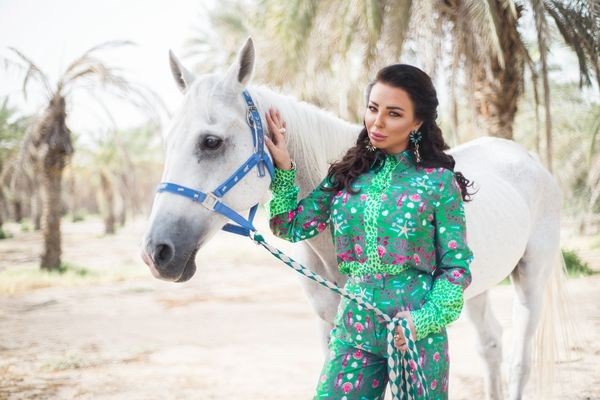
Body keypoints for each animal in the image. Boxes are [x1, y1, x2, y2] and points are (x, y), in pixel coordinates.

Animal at [141, 38, 568, 400]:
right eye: (168, 142)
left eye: (211, 142)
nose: (156, 253)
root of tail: (526, 158)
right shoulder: (331, 325)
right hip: (474, 289)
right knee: (490, 345)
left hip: (531, 278)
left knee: (517, 361)